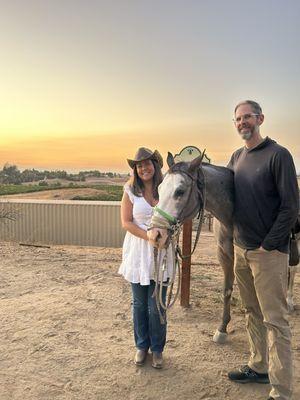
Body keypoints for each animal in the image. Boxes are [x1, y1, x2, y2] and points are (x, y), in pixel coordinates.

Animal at [148, 153, 300, 344]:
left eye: (180, 191)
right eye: (160, 189)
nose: (155, 234)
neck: (232, 216)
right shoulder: (225, 255)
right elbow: (227, 290)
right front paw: (222, 329)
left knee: (292, 272)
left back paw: (289, 300)